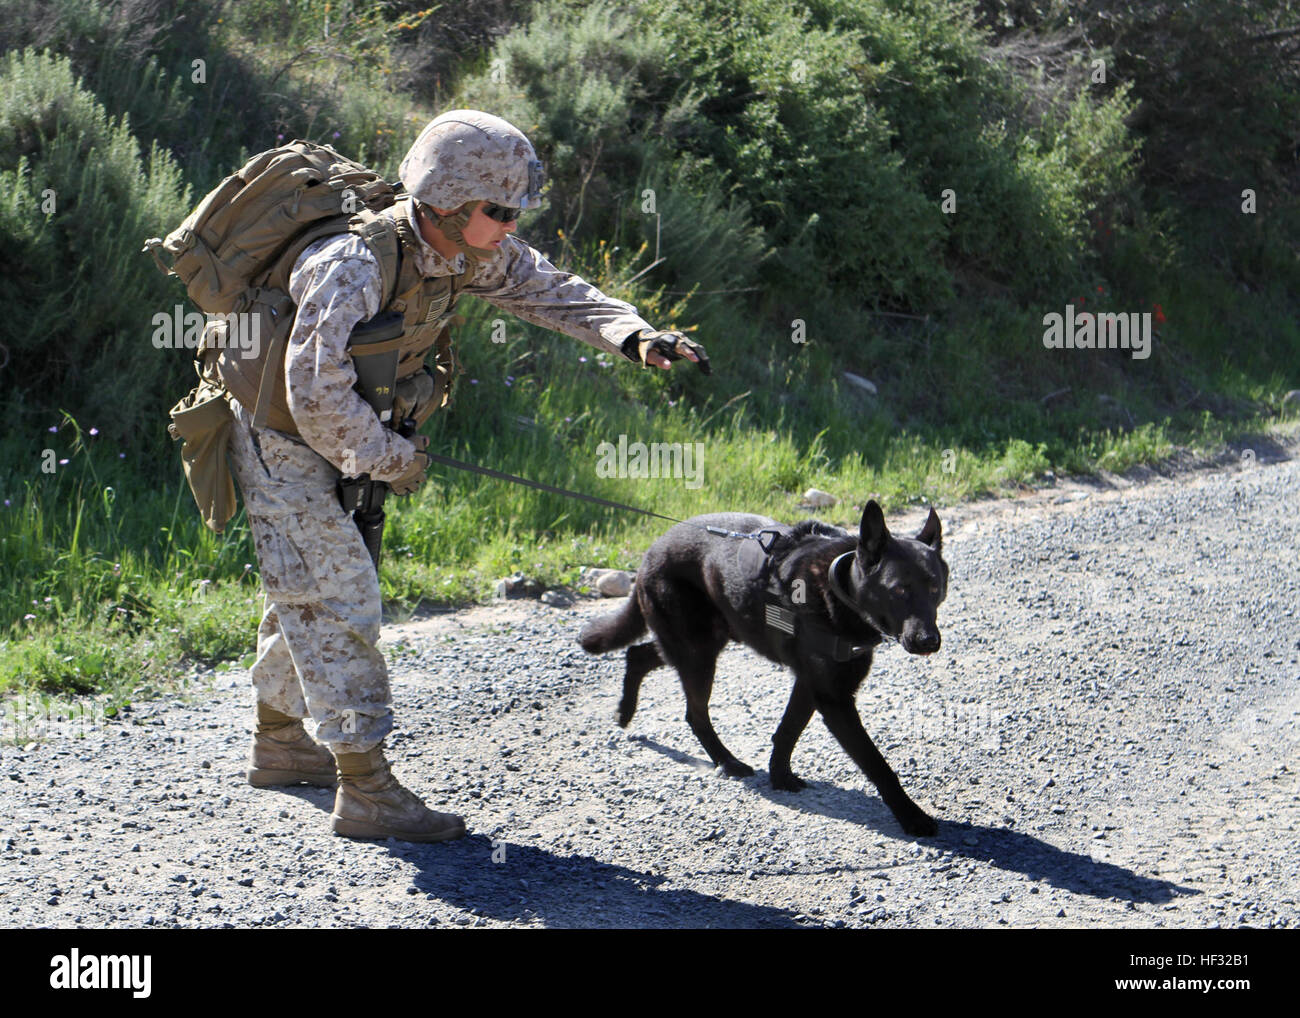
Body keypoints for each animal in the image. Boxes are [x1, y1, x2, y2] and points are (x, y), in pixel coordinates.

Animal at [585, 499, 951, 837]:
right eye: (899, 589)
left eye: (935, 588)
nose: (929, 641)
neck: (839, 587)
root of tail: (652, 550)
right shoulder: (834, 699)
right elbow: (877, 764)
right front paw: (912, 817)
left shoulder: (809, 684)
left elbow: (788, 731)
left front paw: (779, 776)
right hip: (698, 654)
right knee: (695, 714)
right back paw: (727, 761)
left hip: (701, 642)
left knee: (638, 654)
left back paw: (625, 711)